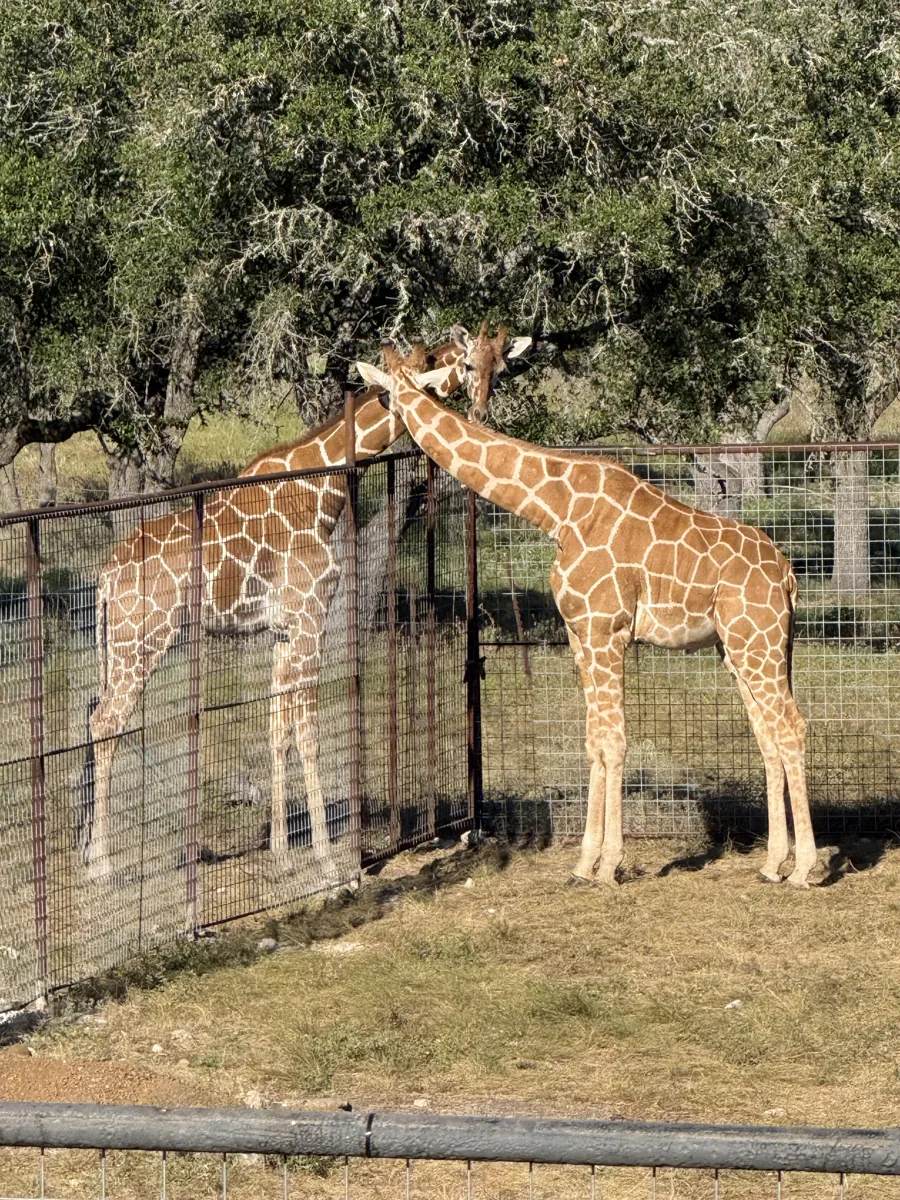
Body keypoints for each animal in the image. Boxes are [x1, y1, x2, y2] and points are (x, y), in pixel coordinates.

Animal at [83, 333, 529, 882]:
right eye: (464, 365)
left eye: (500, 367)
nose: (480, 412)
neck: (321, 490)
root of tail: (105, 578)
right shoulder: (312, 615)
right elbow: (310, 731)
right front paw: (327, 859)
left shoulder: (283, 630)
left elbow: (278, 729)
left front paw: (280, 847)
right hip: (141, 639)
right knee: (105, 723)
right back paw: (100, 863)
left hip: (123, 644)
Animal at [355, 358, 819, 889]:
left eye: (383, 394)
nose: (370, 430)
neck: (555, 508)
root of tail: (788, 575)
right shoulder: (579, 635)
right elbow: (593, 741)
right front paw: (583, 864)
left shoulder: (606, 630)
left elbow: (614, 742)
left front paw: (610, 864)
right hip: (742, 647)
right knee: (767, 734)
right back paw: (772, 864)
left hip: (757, 640)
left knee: (791, 727)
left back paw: (804, 868)